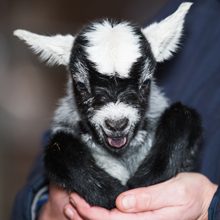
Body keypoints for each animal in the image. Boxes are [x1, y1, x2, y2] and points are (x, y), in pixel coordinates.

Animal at [14, 2, 203, 211]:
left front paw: (148, 177)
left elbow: (183, 115)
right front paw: (108, 193)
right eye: (81, 85)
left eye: (146, 82)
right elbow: (58, 148)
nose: (117, 124)